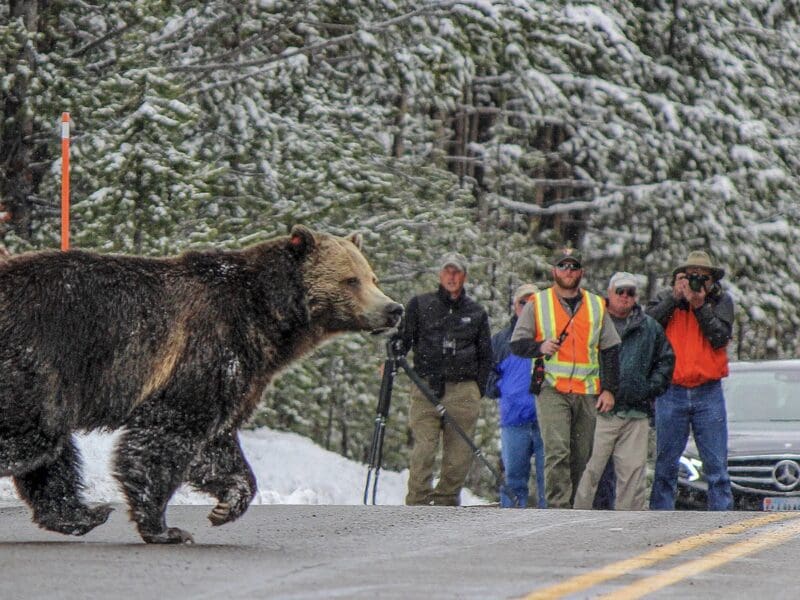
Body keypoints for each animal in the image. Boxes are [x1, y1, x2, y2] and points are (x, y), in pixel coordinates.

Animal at [0, 225, 402, 543]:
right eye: (351, 279)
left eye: (372, 277)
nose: (393, 309)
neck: (268, 319)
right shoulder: (209, 348)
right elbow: (166, 437)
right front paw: (165, 529)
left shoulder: (241, 374)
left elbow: (217, 446)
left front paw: (226, 505)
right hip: (35, 365)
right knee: (33, 442)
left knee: (50, 455)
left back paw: (83, 514)